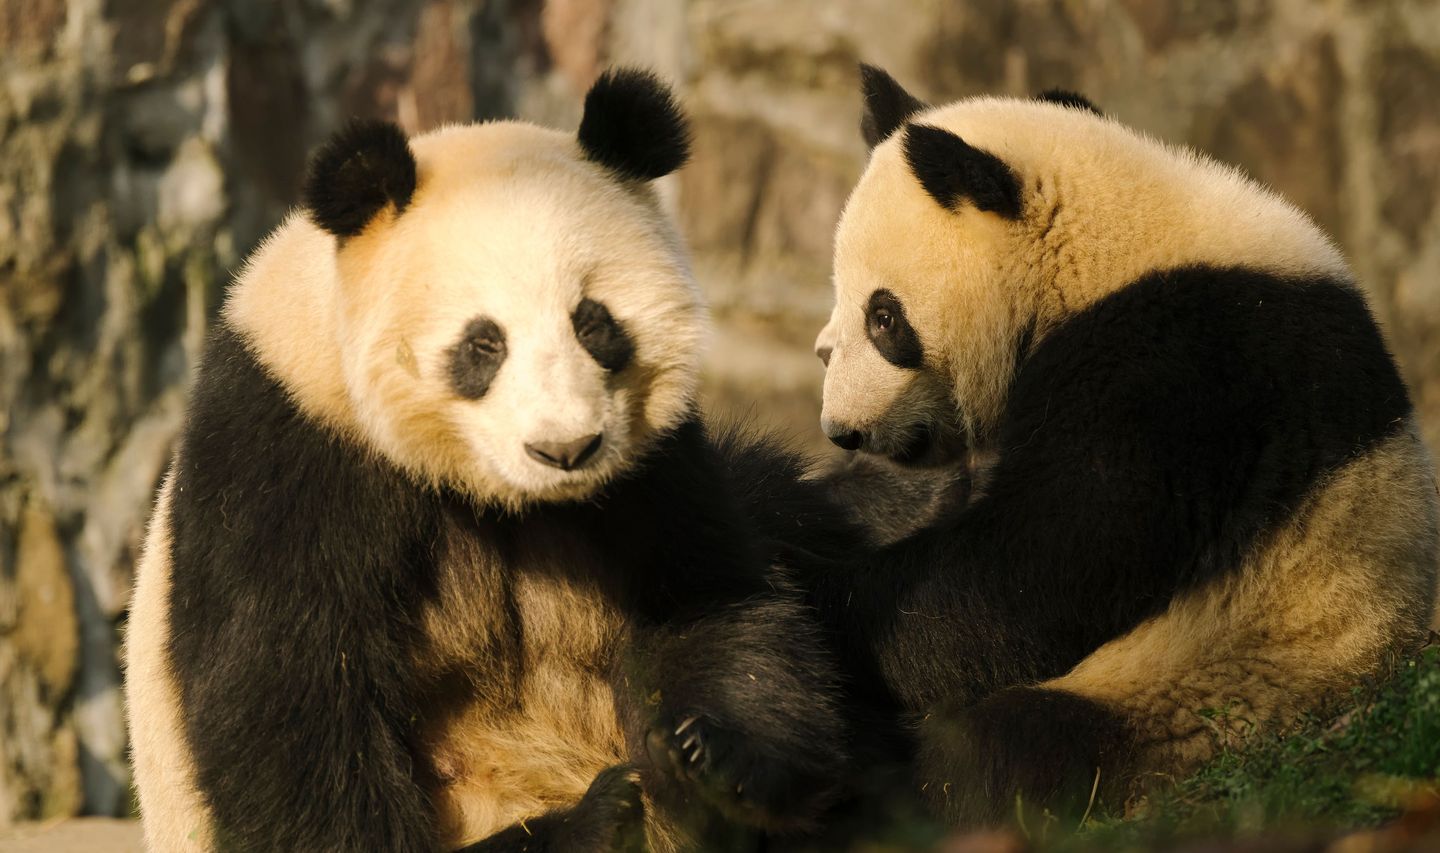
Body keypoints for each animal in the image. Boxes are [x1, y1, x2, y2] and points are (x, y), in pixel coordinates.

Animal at [123, 68, 861, 852]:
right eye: (484, 344)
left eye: (594, 323)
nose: (565, 449)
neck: (503, 494)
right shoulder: (291, 449)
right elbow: (292, 699)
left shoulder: (654, 465)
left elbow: (709, 593)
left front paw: (711, 758)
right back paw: (597, 817)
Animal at [807, 65, 1440, 826]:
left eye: (883, 317)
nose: (841, 429)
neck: (1102, 241)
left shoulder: (1173, 372)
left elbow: (1043, 567)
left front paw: (825, 591)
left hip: (1214, 694)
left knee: (1010, 747)